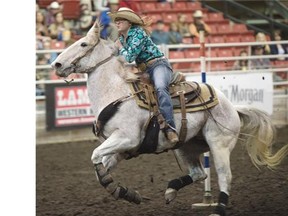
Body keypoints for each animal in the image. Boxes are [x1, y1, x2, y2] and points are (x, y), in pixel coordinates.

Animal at [50, 22, 286, 216]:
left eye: (83, 44)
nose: (57, 64)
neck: (116, 93)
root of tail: (232, 106)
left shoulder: (127, 138)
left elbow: (95, 156)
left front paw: (118, 188)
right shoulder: (120, 149)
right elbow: (99, 168)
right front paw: (126, 193)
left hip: (219, 144)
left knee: (224, 176)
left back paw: (217, 209)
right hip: (185, 146)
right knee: (199, 173)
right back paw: (171, 190)